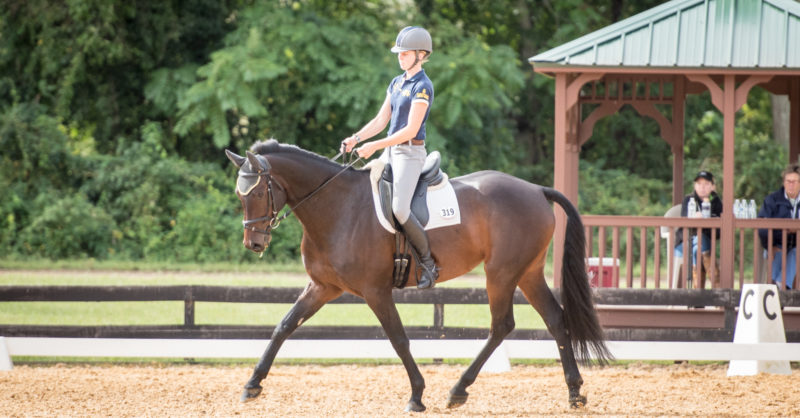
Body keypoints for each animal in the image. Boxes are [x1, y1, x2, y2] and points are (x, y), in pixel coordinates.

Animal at [225, 140, 612, 412]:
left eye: (257, 192)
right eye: (239, 194)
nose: (253, 243)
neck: (337, 206)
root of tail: (535, 190)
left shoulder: (375, 291)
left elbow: (398, 339)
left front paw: (416, 395)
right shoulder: (323, 287)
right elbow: (284, 326)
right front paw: (252, 385)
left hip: (501, 274)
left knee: (502, 325)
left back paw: (458, 390)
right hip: (527, 273)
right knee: (555, 319)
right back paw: (574, 392)